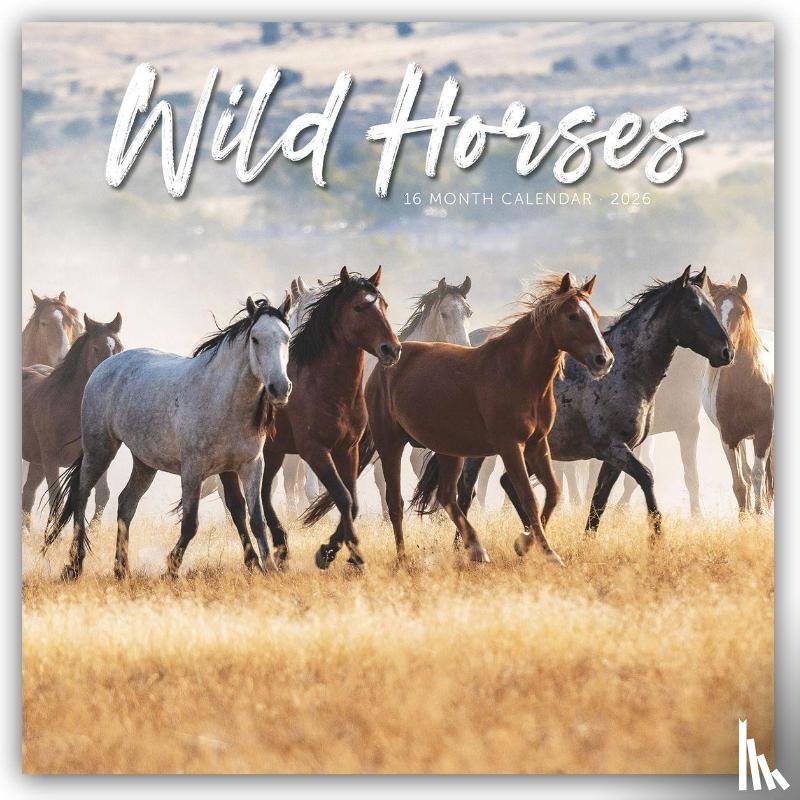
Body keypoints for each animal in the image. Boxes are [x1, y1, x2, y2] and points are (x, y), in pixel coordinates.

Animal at [22, 313, 123, 532]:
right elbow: (55, 497)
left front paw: (93, 532)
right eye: (96, 348)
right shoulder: (51, 459)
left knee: (27, 493)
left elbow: (102, 494)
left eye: (119, 347)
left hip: (36, 461)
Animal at [44, 296, 293, 581]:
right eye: (255, 339)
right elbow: (191, 523)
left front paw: (266, 567)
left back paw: (122, 569)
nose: (280, 388)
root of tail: (104, 367)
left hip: (144, 463)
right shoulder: (193, 470)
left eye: (286, 338)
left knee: (126, 504)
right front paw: (171, 568)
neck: (221, 398)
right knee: (81, 495)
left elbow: (252, 518)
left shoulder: (248, 466)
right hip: (100, 449)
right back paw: (75, 565)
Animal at [222, 267, 401, 571]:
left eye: (385, 305)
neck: (324, 385)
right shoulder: (315, 452)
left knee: (264, 493)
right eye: (359, 307)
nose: (392, 349)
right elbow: (341, 496)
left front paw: (332, 551)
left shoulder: (347, 450)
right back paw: (254, 559)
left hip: (273, 453)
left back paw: (281, 545)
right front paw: (349, 556)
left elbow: (352, 501)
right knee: (237, 504)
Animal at [446, 267, 733, 541]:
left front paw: (588, 540)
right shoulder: (613, 448)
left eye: (710, 304)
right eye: (695, 307)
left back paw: (532, 532)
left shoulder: (617, 453)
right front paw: (657, 536)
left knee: (506, 483)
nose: (726, 351)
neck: (625, 372)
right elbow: (646, 478)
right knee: (467, 492)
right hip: (479, 453)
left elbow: (599, 500)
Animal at [702, 275, 774, 513]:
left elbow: (759, 475)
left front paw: (760, 514)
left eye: (741, 312)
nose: (725, 350)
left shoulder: (764, 433)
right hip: (741, 439)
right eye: (714, 311)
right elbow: (740, 483)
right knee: (746, 472)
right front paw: (745, 517)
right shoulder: (728, 437)